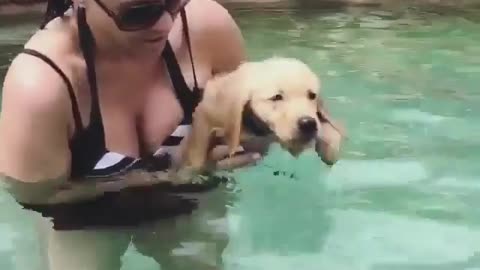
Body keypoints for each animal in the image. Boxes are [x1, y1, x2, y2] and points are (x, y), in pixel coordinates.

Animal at [178, 57, 344, 175]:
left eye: (312, 95)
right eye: (277, 97)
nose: (308, 124)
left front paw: (330, 149)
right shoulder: (206, 115)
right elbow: (198, 146)